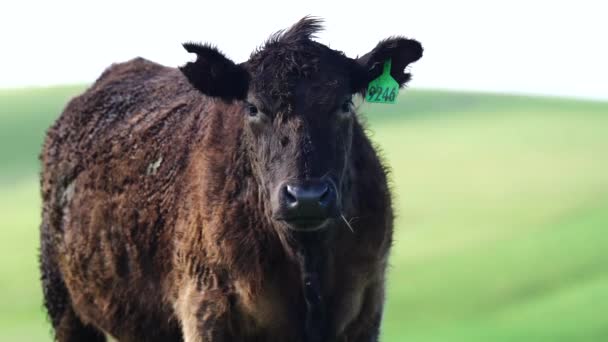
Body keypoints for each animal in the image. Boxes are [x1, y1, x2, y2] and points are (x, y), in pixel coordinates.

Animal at [39, 16, 422, 342]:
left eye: (344, 104)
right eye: (252, 107)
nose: (307, 196)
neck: (306, 258)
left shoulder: (366, 309)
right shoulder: (206, 310)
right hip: (65, 306)